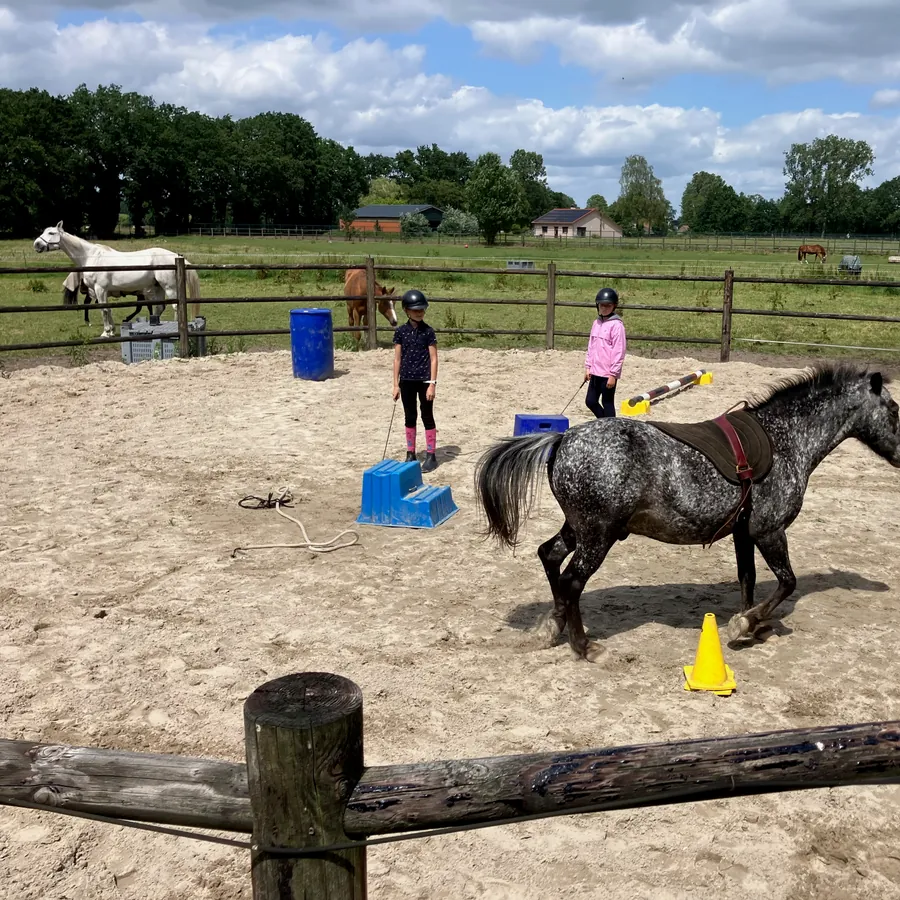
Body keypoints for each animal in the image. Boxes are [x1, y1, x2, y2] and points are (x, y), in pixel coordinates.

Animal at [34, 222, 201, 337]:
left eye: (51, 232)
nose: (36, 244)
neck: (91, 257)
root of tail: (176, 256)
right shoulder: (103, 291)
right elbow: (108, 310)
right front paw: (112, 330)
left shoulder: (100, 289)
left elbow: (103, 310)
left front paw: (106, 332)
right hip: (158, 287)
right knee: (160, 307)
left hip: (169, 287)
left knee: (175, 306)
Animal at [474, 364, 900, 661]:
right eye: (895, 410)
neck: (785, 440)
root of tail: (562, 439)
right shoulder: (770, 532)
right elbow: (787, 582)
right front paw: (746, 624)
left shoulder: (743, 533)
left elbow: (747, 580)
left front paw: (748, 625)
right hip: (598, 535)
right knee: (572, 580)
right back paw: (584, 646)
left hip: (578, 528)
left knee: (550, 558)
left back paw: (553, 627)